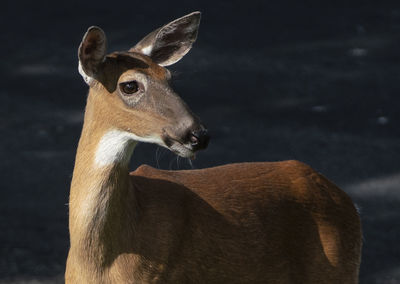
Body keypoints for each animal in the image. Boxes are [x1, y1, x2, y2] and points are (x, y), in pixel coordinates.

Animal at [66, 11, 362, 284]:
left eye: (169, 77)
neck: (100, 262)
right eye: (129, 85)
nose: (198, 135)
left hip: (336, 271)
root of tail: (342, 197)